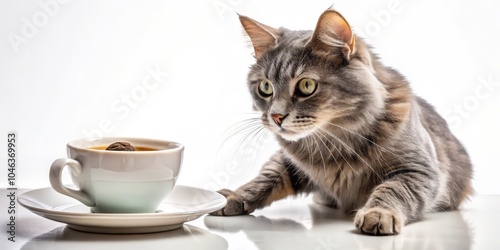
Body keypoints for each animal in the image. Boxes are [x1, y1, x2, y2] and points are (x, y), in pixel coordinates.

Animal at [211, 7, 472, 234]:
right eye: (265, 87)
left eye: (307, 86)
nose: (276, 116)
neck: (334, 142)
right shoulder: (289, 162)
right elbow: (264, 178)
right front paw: (233, 196)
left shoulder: (419, 169)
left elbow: (394, 188)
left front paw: (379, 213)